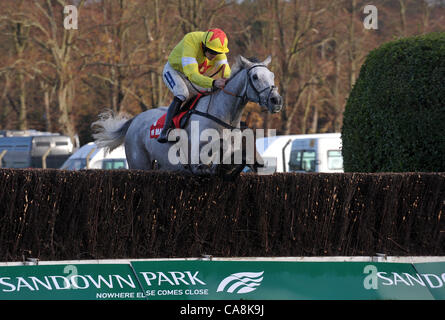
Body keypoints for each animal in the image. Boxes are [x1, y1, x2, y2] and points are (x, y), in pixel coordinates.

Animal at [92, 55, 282, 175]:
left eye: (272, 75)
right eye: (255, 77)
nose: (276, 100)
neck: (223, 117)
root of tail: (135, 119)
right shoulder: (198, 160)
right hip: (139, 163)